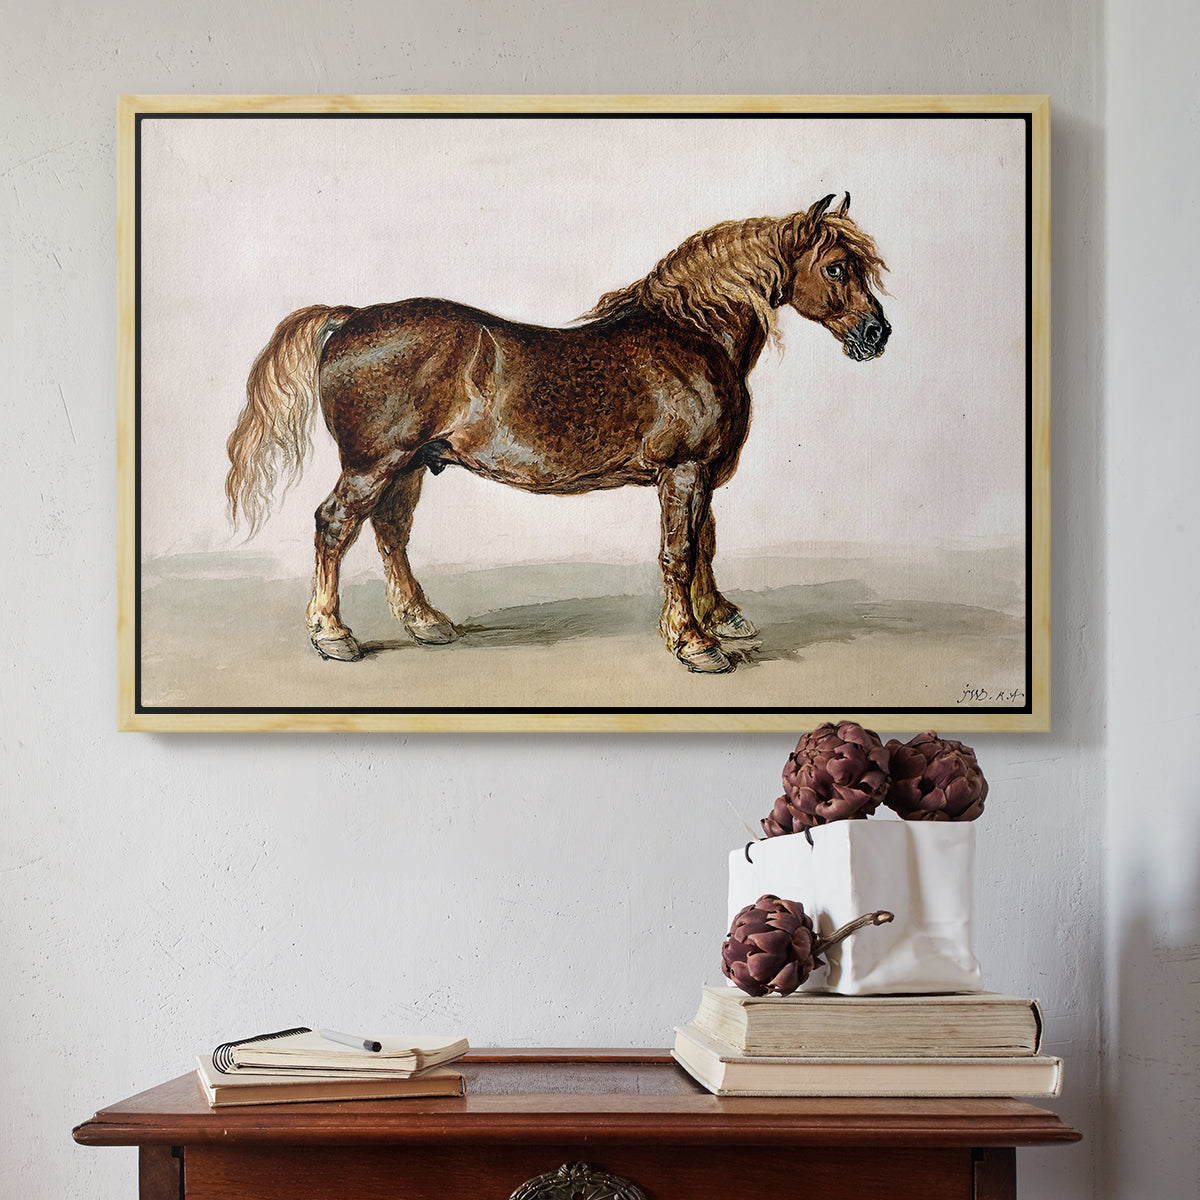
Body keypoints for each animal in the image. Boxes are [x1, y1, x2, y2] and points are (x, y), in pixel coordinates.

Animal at [225, 192, 889, 674]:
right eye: (836, 267)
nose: (876, 334)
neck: (692, 337)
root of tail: (350, 319)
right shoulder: (684, 470)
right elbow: (679, 553)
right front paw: (695, 645)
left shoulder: (700, 474)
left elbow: (704, 547)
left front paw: (719, 618)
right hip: (374, 463)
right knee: (336, 526)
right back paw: (333, 635)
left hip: (409, 465)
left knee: (391, 533)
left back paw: (426, 622)